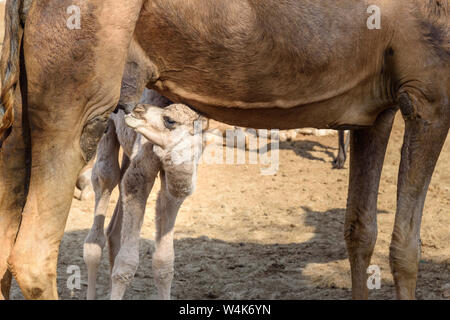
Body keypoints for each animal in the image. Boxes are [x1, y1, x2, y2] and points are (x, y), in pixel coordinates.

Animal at [83, 102, 205, 300]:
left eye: (169, 120)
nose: (138, 109)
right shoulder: (139, 173)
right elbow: (126, 265)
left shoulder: (172, 194)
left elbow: (164, 265)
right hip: (106, 125)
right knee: (105, 176)